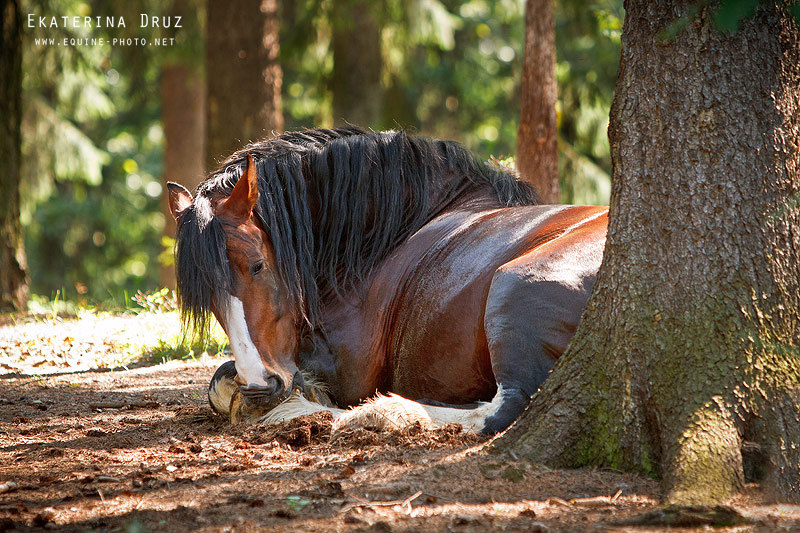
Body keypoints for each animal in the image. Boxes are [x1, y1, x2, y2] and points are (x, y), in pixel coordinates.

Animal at [169, 127, 608, 434]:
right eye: (209, 295)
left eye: (257, 265)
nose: (260, 388)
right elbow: (219, 381)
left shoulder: (349, 369)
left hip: (513, 286)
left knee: (507, 408)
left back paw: (375, 414)